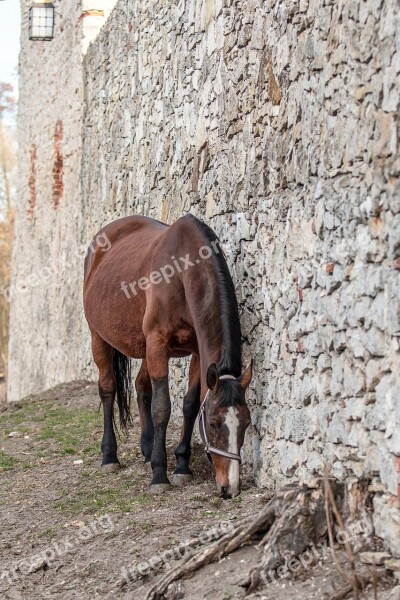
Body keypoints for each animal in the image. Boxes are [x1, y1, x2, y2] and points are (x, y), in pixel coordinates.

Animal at [83, 214, 253, 496]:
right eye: (214, 423)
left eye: (247, 423)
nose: (230, 487)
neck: (180, 273)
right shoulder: (158, 344)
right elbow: (162, 407)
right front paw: (160, 474)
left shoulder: (197, 351)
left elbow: (190, 404)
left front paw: (182, 465)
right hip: (99, 337)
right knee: (108, 388)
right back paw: (110, 456)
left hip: (144, 347)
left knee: (141, 386)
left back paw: (147, 448)